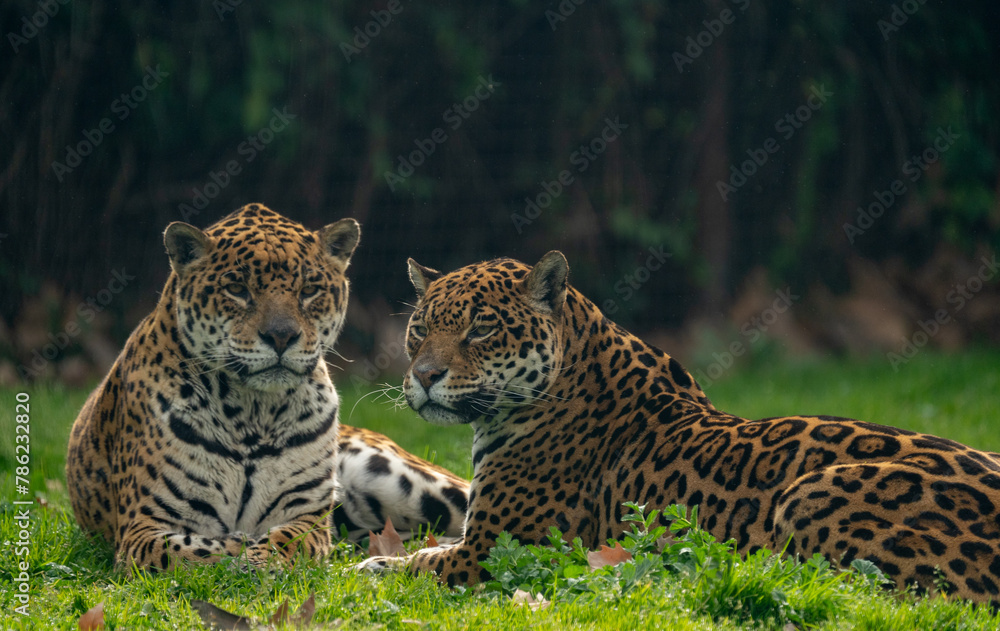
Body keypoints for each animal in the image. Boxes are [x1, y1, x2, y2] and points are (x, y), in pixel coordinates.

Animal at [66, 203, 468, 571]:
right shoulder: (143, 528)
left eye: (309, 290)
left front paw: (258, 557)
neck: (252, 414)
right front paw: (241, 551)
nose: (281, 336)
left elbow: (282, 541)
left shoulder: (306, 518)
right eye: (236, 288)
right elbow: (194, 552)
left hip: (403, 479)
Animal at [360, 250, 1000, 604]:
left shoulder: (500, 549)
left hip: (813, 489)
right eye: (420, 328)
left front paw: (368, 564)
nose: (423, 375)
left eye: (483, 328)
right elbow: (427, 546)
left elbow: (419, 563)